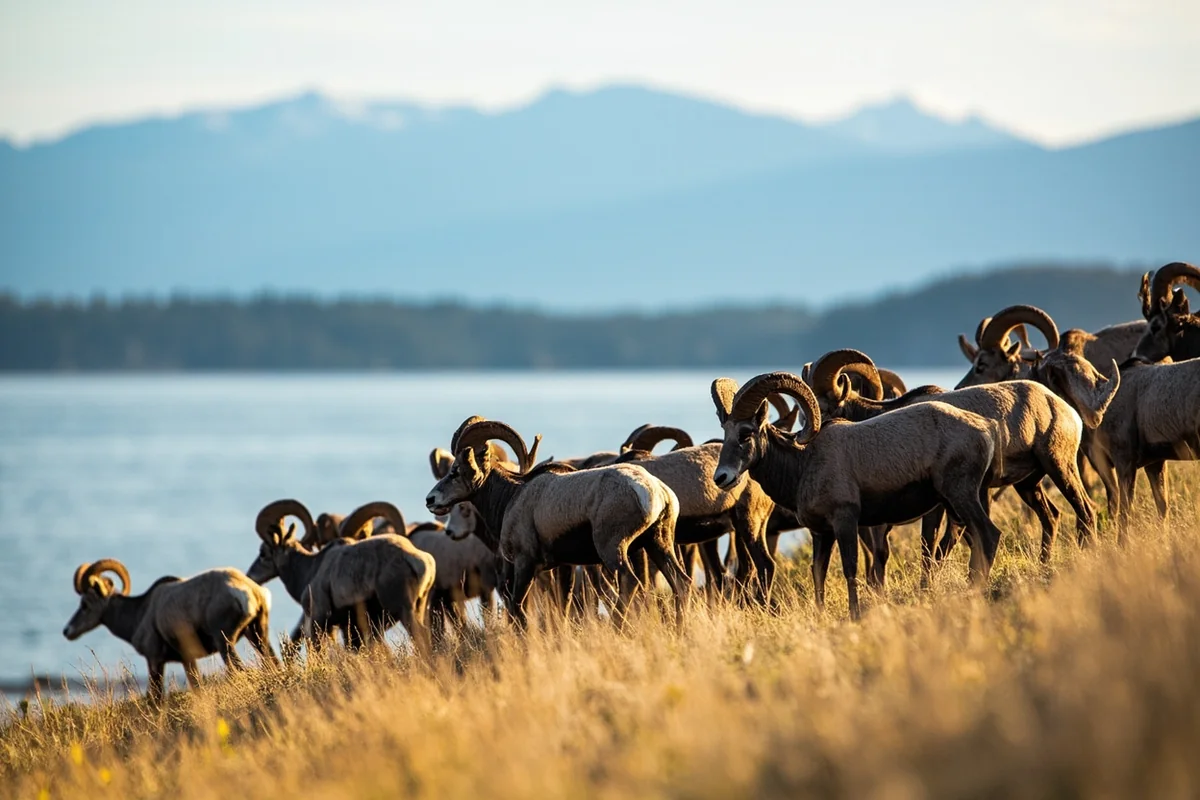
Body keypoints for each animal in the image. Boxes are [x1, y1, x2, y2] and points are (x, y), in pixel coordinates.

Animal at [63, 559, 278, 702]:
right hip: (257, 634)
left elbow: (156, 696)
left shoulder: (155, 660)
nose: (67, 631)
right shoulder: (187, 660)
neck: (141, 613)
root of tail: (251, 592)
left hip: (225, 643)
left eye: (85, 604)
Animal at [247, 499, 436, 655]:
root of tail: (416, 559)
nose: (251, 576)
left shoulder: (319, 620)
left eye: (263, 553)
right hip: (418, 608)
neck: (310, 570)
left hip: (404, 610)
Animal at [425, 418, 692, 627]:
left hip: (613, 549)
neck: (511, 497)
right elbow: (563, 605)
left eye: (455, 471)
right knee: (682, 583)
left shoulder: (525, 563)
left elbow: (517, 608)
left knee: (630, 583)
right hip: (658, 543)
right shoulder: (564, 567)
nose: (431, 500)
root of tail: (652, 491)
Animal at [711, 372, 1006, 620]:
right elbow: (818, 573)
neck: (803, 462)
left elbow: (850, 569)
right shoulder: (821, 533)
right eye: (726, 432)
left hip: (960, 495)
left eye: (746, 433)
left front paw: (854, 615)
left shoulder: (845, 521)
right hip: (952, 504)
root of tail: (986, 427)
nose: (721, 478)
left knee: (989, 534)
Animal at [808, 349, 1100, 569]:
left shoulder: (937, 506)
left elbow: (930, 547)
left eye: (823, 408)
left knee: (1086, 510)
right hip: (1027, 484)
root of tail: (1065, 409)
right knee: (1051, 516)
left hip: (1059, 466)